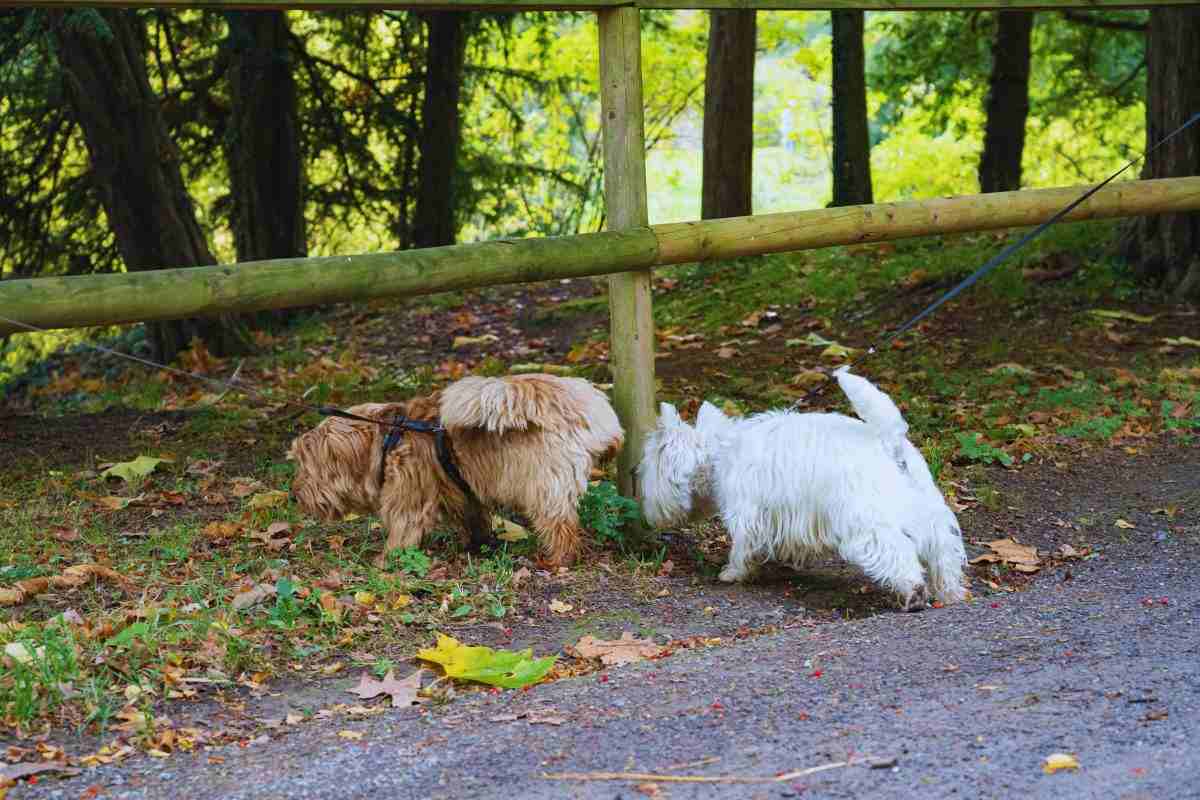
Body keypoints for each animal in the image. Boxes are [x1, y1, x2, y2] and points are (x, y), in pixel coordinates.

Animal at [285, 374, 624, 566]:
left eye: (307, 467)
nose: (293, 495)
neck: (387, 438)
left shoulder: (409, 497)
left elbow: (402, 530)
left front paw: (386, 560)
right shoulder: (462, 492)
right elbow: (474, 518)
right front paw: (478, 545)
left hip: (545, 484)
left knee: (561, 524)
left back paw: (558, 558)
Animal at [638, 367, 964, 609]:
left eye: (647, 465)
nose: (632, 472)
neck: (719, 452)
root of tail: (888, 441)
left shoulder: (747, 512)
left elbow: (742, 546)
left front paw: (732, 573)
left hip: (867, 520)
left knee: (897, 549)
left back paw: (913, 593)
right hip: (927, 508)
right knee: (943, 549)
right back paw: (950, 591)